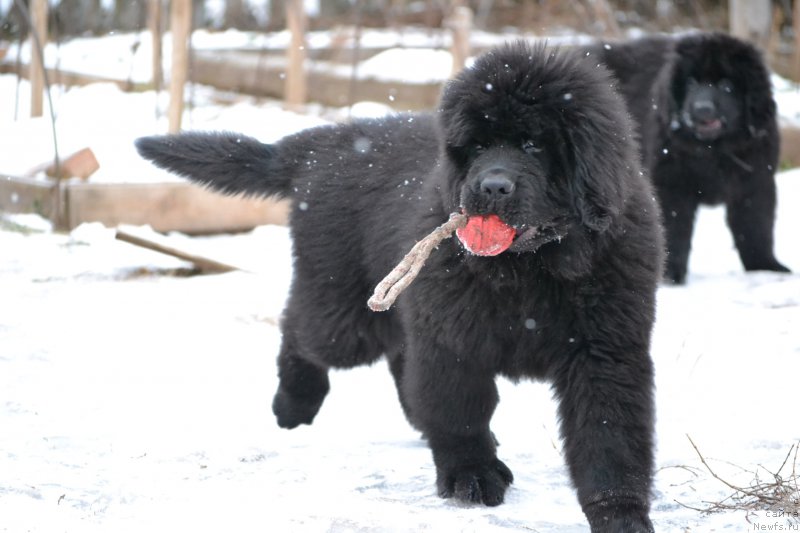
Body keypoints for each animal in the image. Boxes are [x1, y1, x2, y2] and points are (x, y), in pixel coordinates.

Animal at [136, 42, 664, 532]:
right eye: (476, 147)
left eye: (534, 145)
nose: (491, 187)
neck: (530, 265)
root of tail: (323, 139)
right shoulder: (452, 336)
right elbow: (461, 409)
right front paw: (471, 476)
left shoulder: (605, 350)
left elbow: (609, 435)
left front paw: (620, 513)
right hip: (347, 312)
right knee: (302, 328)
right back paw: (293, 403)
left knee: (396, 355)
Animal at [584, 30, 792, 282]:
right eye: (691, 83)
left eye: (726, 85)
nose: (702, 109)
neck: (713, 151)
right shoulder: (672, 185)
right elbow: (675, 227)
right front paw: (670, 274)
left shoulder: (755, 180)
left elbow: (756, 226)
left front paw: (766, 266)